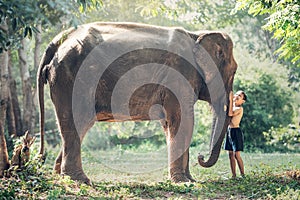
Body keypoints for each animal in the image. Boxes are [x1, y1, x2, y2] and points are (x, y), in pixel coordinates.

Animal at [37, 22, 238, 184]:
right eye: (234, 71)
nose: (201, 156)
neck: (196, 35)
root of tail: (57, 41)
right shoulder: (178, 77)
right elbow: (183, 121)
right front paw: (183, 182)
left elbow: (170, 124)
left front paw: (190, 180)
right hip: (72, 80)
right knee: (77, 122)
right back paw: (81, 180)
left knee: (77, 127)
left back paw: (61, 176)